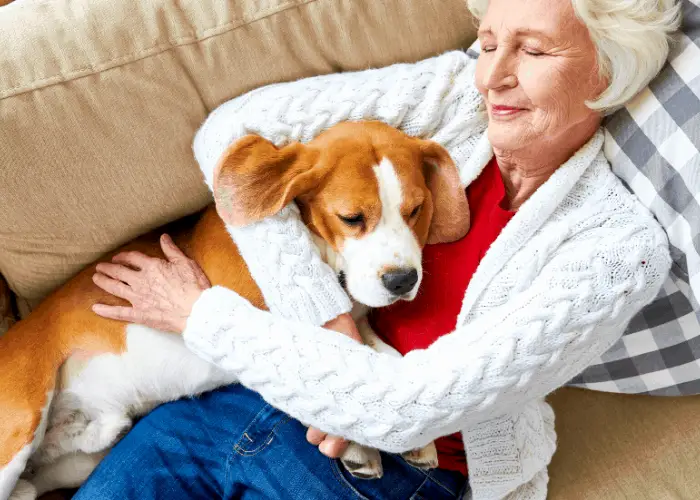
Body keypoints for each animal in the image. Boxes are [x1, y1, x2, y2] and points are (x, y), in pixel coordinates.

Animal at [1, 121, 470, 500]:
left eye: (415, 210)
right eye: (351, 218)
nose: (402, 281)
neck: (321, 253)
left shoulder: (355, 324)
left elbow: (387, 355)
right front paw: (356, 444)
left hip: (75, 460)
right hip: (20, 423)